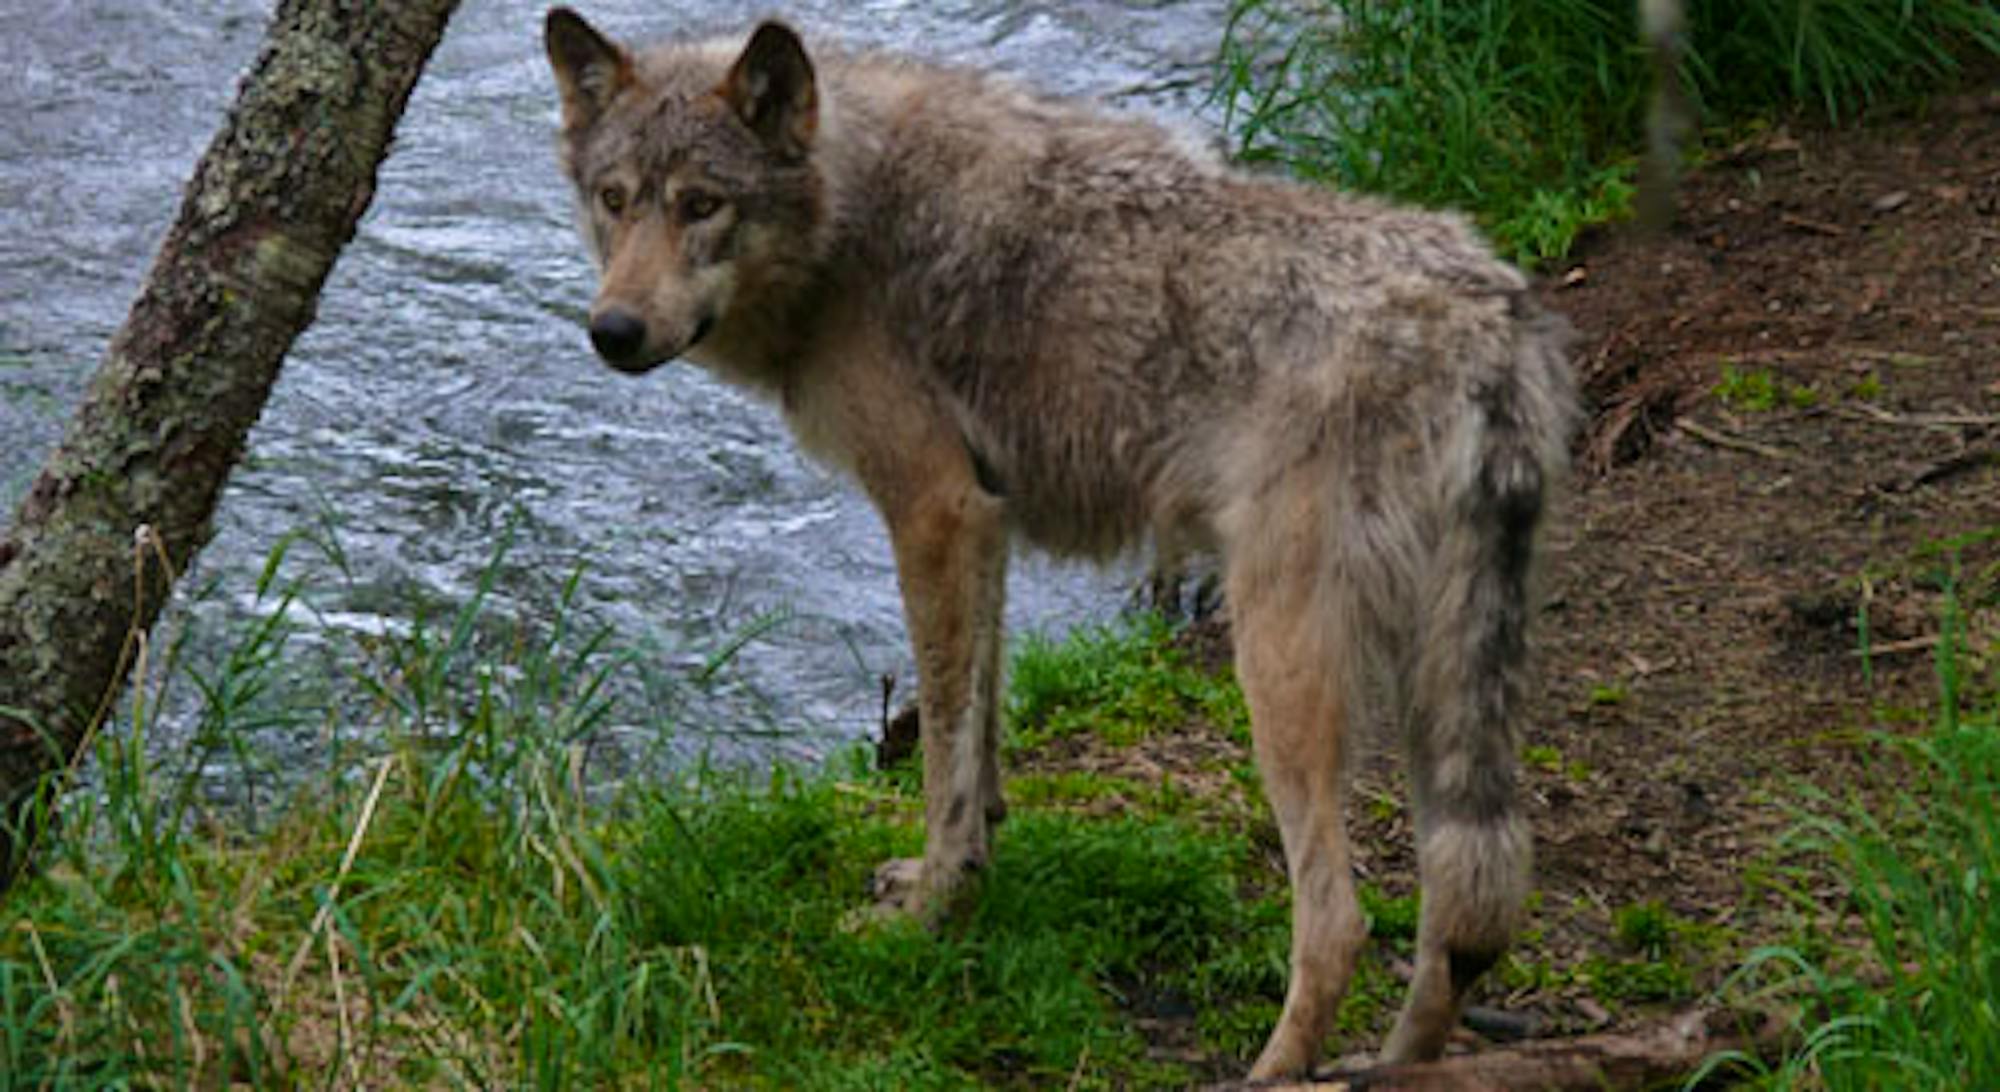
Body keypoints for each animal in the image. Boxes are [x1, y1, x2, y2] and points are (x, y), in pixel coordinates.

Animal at [544, 12, 1576, 1072]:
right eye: (615, 200)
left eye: (702, 204)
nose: (611, 329)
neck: (849, 212)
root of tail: (1491, 325)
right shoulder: (985, 519)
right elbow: (983, 724)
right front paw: (976, 860)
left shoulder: (934, 511)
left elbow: (943, 751)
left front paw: (932, 909)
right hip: (1435, 687)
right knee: (1463, 910)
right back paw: (1394, 1067)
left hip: (1280, 666)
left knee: (1340, 924)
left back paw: (1276, 1074)